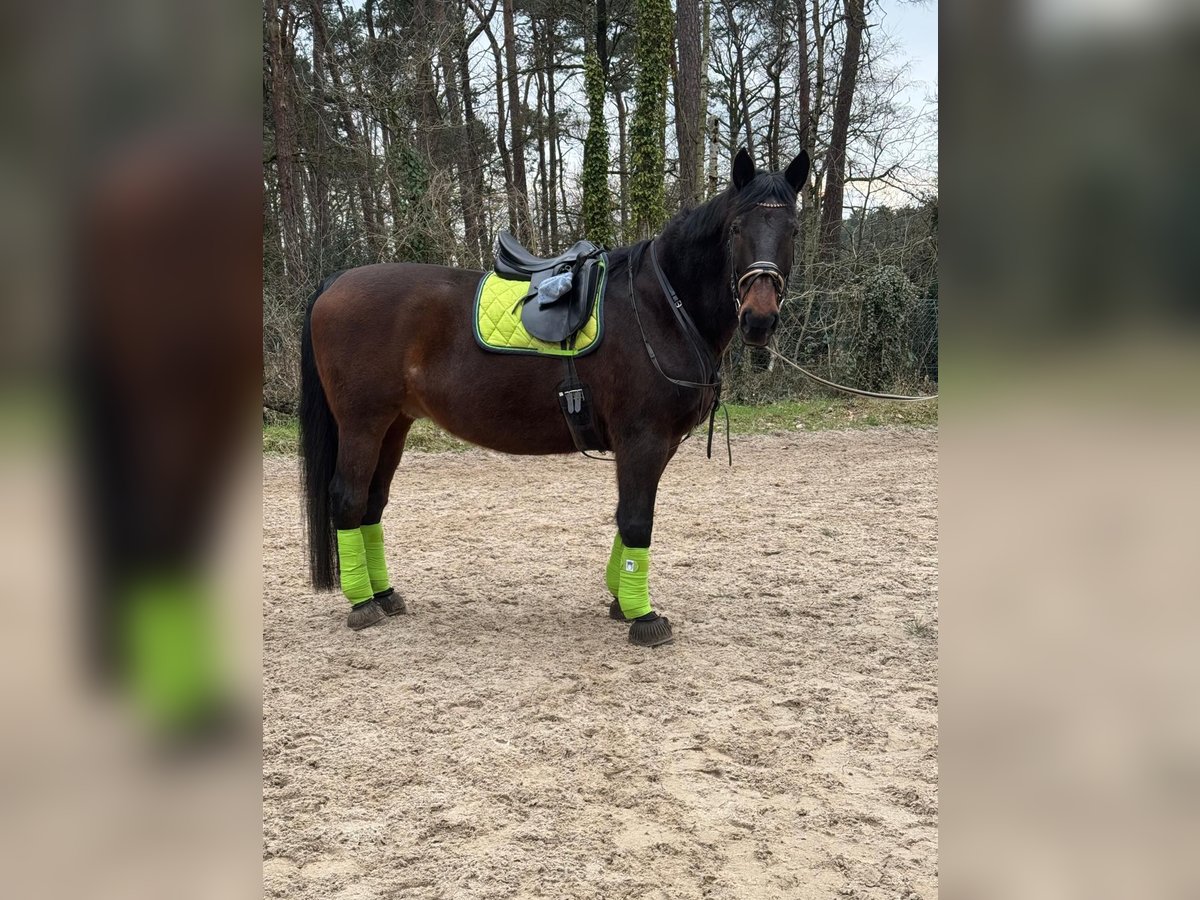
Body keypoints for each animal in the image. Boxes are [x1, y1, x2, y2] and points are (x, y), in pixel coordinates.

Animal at [300, 151, 811, 648]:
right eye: (737, 228)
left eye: (792, 229)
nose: (759, 319)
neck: (661, 308)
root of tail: (336, 282)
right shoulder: (642, 439)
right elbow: (637, 520)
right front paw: (643, 616)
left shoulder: (659, 444)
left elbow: (627, 518)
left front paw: (621, 601)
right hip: (362, 423)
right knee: (348, 499)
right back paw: (362, 604)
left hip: (394, 424)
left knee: (372, 503)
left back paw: (384, 595)